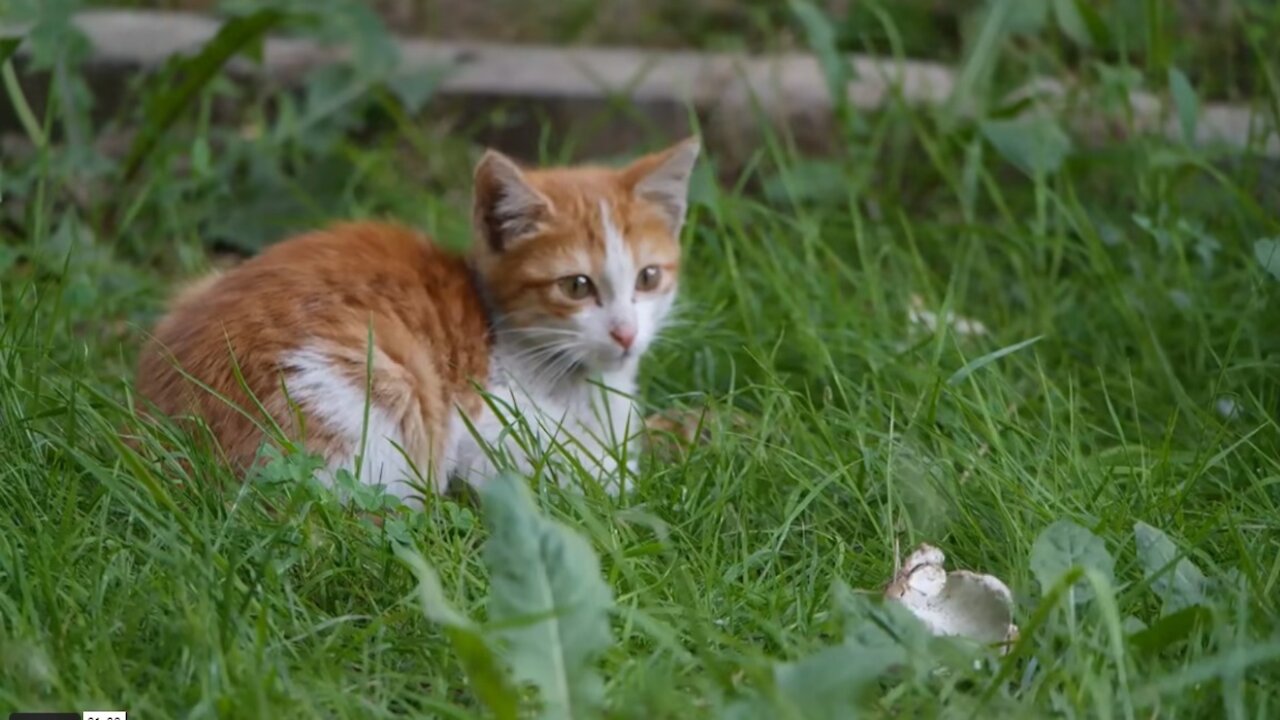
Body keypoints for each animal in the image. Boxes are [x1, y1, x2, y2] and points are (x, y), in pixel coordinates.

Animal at [137, 137, 701, 502]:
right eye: (577, 286)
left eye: (648, 277)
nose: (626, 333)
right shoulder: (487, 435)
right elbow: (592, 479)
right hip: (380, 375)